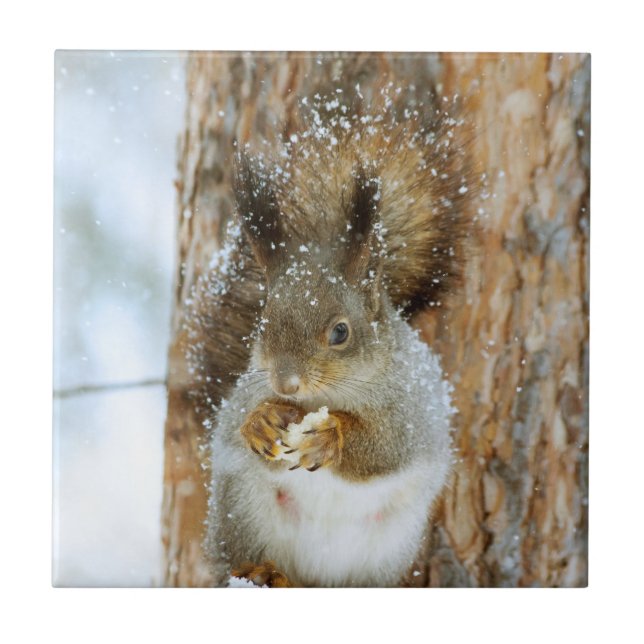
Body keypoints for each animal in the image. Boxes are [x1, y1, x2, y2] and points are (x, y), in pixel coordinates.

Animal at [187, 92, 476, 587]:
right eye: (262, 321)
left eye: (340, 332)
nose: (285, 384)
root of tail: (314, 576)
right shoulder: (244, 392)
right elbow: (233, 422)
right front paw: (261, 421)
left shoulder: (414, 409)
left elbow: (387, 446)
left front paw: (331, 436)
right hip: (241, 508)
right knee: (238, 557)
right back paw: (263, 571)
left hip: (387, 548)